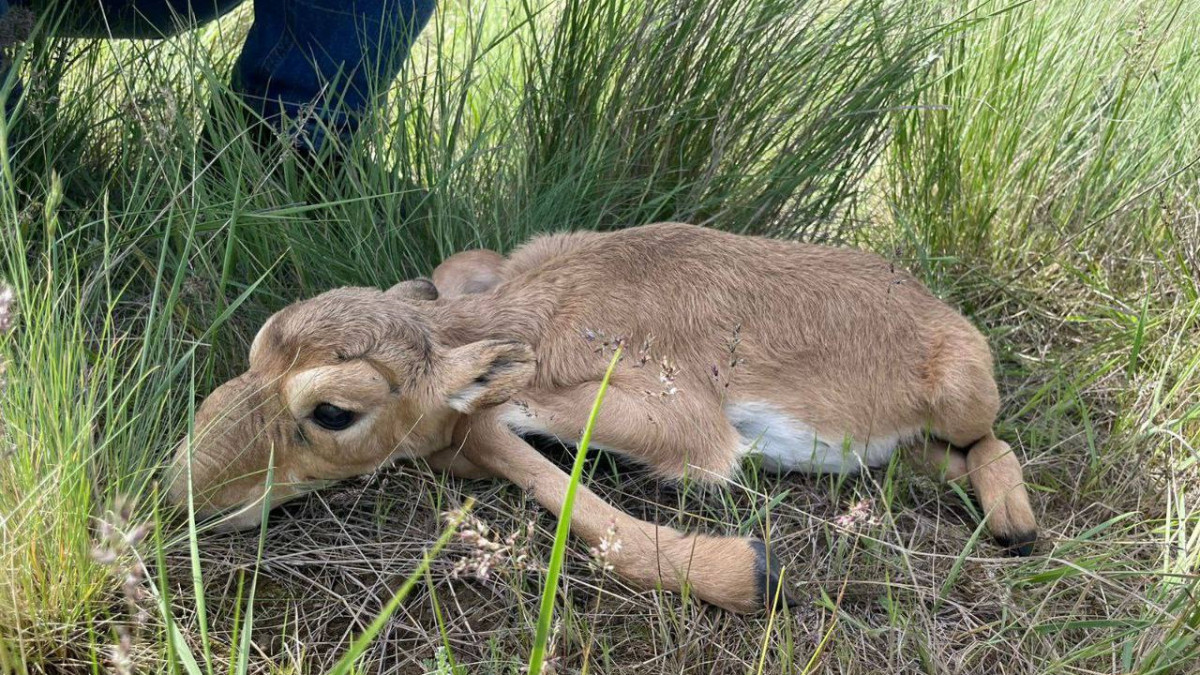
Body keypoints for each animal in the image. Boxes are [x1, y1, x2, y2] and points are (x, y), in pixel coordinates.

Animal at [164, 222, 1036, 610]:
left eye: (333, 410)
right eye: (256, 351)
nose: (181, 493)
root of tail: (931, 305)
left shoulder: (687, 424)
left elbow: (489, 422)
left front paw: (750, 569)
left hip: (965, 390)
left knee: (991, 442)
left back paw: (1017, 524)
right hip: (904, 444)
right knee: (937, 457)